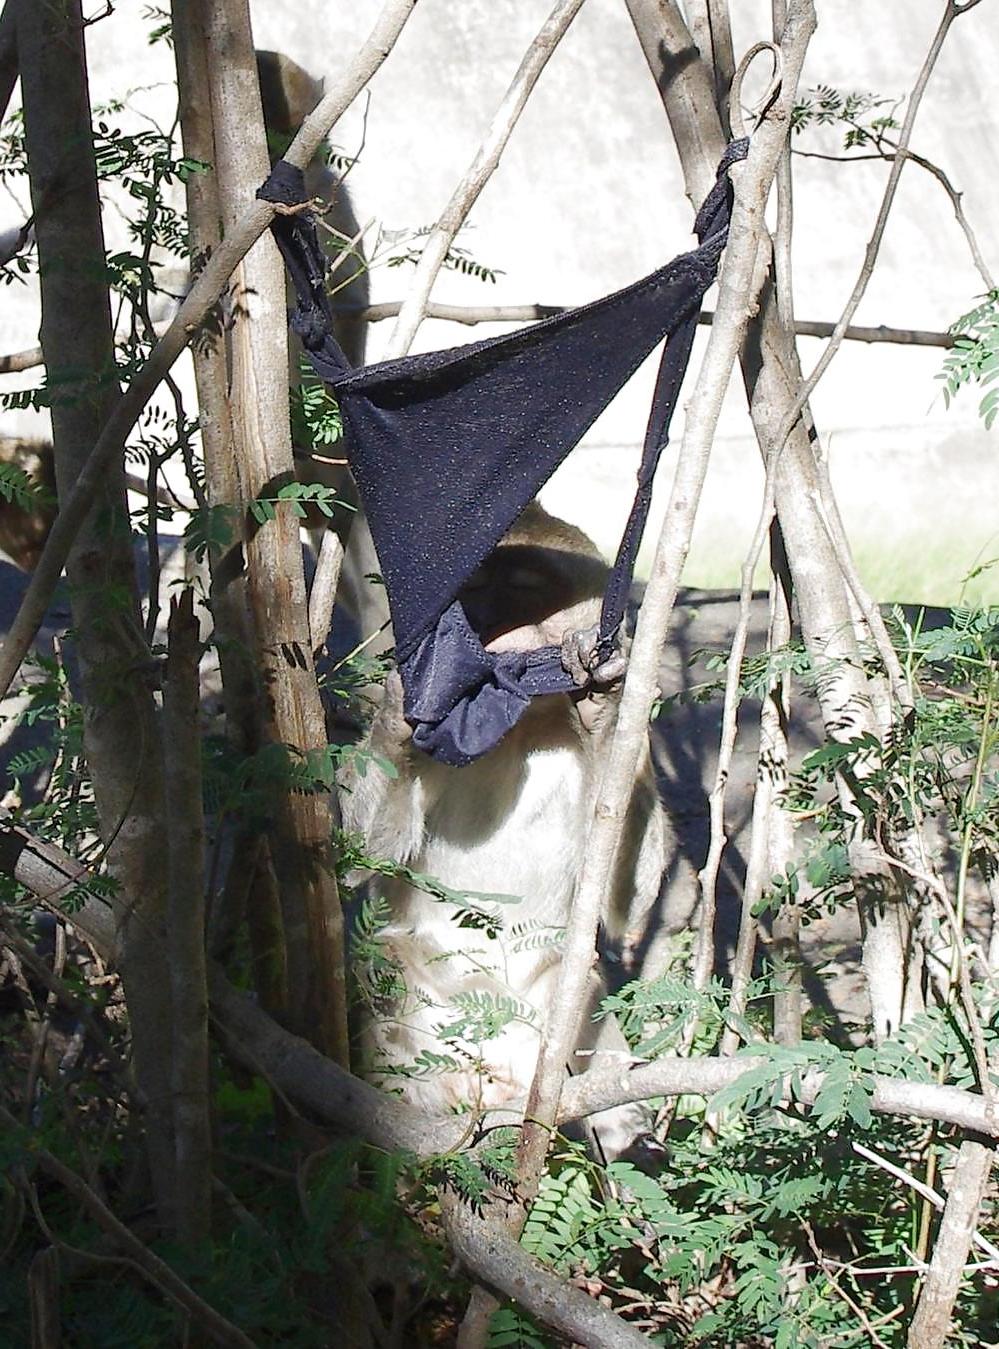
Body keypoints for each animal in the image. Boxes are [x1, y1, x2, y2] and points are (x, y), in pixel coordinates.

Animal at [340, 501, 667, 1150]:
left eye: (519, 592)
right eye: (469, 595)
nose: (485, 631)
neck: (524, 725)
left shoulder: (635, 751)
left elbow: (626, 902)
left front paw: (604, 705)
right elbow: (361, 857)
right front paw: (400, 706)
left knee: (579, 977)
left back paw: (618, 1122)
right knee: (385, 956)